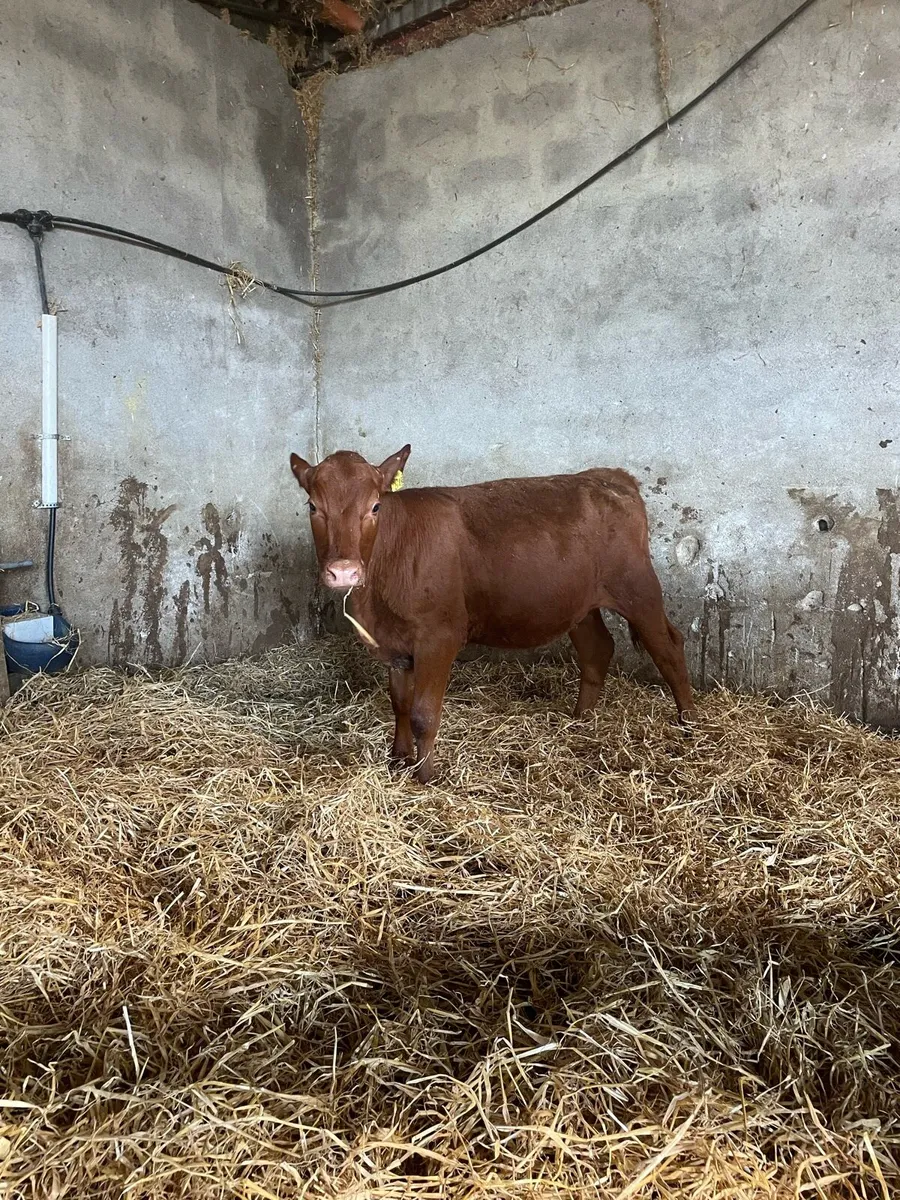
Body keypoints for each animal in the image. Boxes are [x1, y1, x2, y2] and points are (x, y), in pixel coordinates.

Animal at [290, 445, 697, 783]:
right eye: (313, 507)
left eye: (375, 506)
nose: (344, 571)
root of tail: (609, 476)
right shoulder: (395, 644)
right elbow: (399, 704)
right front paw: (397, 760)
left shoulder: (439, 637)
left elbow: (423, 713)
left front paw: (425, 777)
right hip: (580, 602)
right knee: (598, 649)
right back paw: (579, 720)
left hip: (638, 588)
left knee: (669, 649)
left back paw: (689, 723)